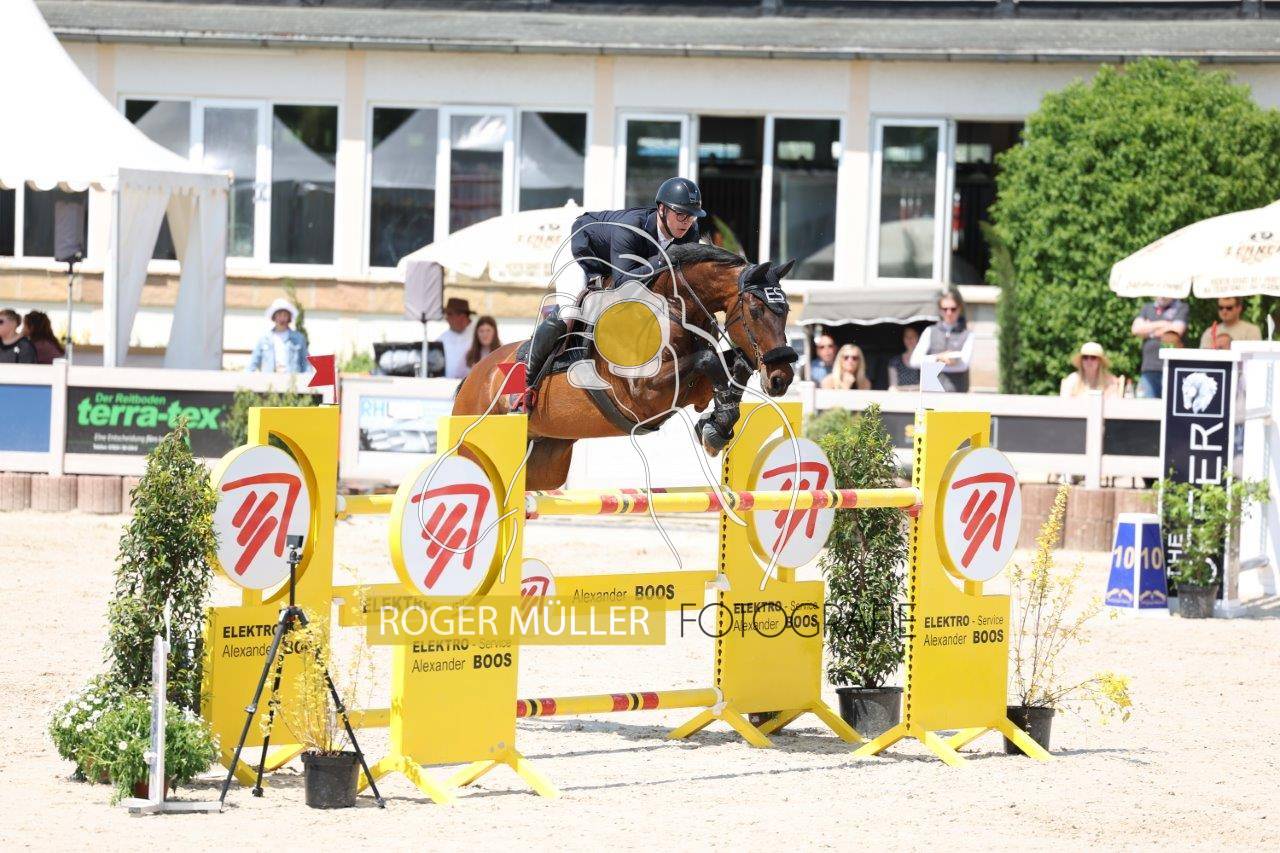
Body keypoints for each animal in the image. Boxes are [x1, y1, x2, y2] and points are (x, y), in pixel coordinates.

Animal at [453, 243, 798, 491]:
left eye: (786, 310)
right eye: (756, 310)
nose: (781, 377)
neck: (672, 309)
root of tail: (473, 377)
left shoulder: (691, 389)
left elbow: (732, 365)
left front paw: (716, 425)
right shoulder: (643, 394)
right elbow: (709, 360)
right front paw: (716, 424)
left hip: (547, 460)